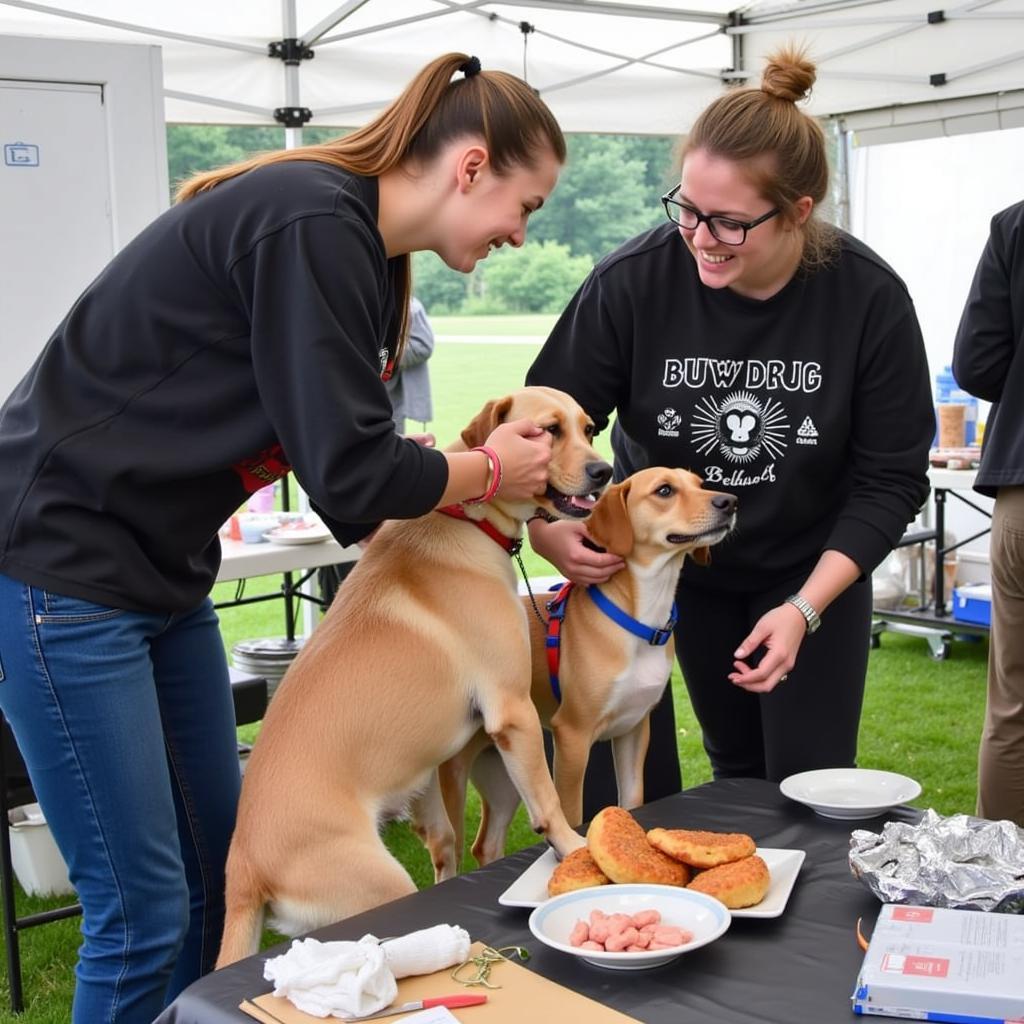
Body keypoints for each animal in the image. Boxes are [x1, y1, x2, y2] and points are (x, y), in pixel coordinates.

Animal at [217, 385, 610, 966]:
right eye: (548, 430)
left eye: (588, 428)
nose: (603, 471)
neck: (468, 519)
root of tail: (243, 866)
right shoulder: (512, 711)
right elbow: (548, 799)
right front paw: (573, 845)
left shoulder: (429, 772)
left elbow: (446, 842)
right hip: (379, 887)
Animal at [432, 468, 737, 868]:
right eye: (664, 491)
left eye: (701, 483)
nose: (730, 502)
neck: (641, 620)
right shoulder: (572, 739)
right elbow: (572, 814)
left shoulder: (634, 729)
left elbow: (633, 799)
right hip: (455, 780)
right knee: (448, 850)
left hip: (509, 770)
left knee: (485, 844)